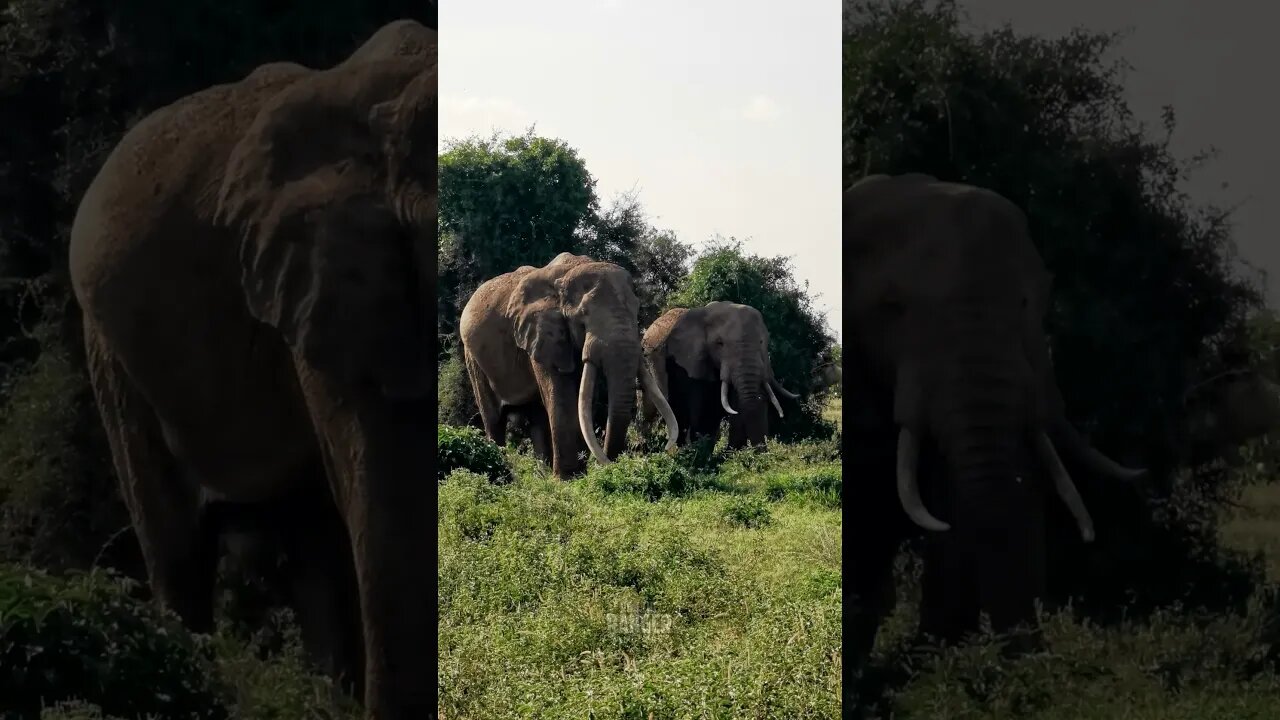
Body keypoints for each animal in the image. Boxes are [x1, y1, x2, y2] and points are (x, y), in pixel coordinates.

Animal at [460, 252, 680, 476]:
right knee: (494, 420)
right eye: (583, 317)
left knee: (537, 417)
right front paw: (569, 478)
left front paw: (578, 475)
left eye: (636, 311)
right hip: (472, 358)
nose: (612, 465)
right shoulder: (543, 333)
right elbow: (562, 397)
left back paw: (542, 475)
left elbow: (580, 398)